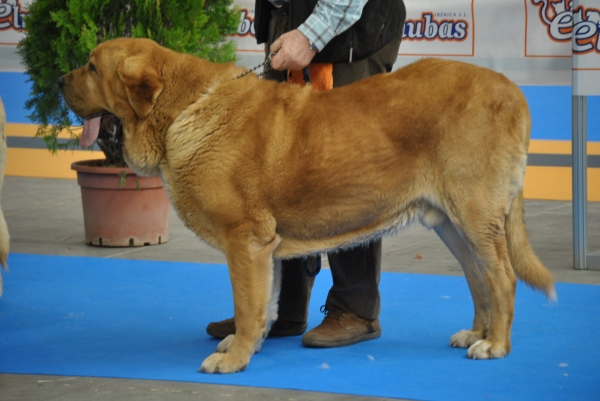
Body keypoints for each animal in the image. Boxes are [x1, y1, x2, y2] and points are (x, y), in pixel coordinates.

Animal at [58, 37, 556, 372]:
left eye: (91, 67)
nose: (60, 80)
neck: (181, 108)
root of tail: (513, 90)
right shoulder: (263, 248)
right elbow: (264, 303)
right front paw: (246, 344)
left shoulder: (244, 241)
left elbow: (247, 304)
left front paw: (234, 360)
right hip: (451, 223)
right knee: (478, 278)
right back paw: (477, 332)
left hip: (474, 214)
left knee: (503, 278)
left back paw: (495, 345)